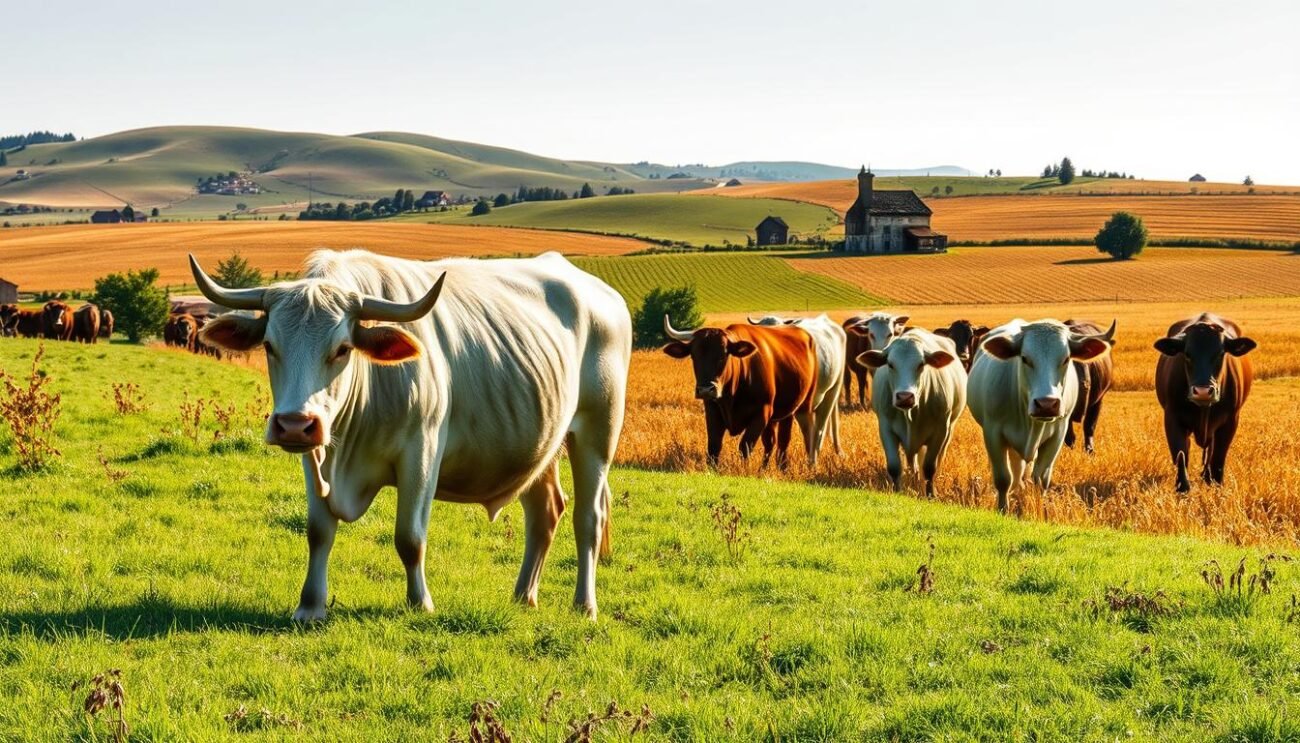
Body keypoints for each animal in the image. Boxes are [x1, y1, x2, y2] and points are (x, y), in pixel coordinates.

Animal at [190, 249, 630, 622]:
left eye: (342, 348)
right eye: (269, 345)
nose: (296, 423)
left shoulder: (421, 453)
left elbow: (409, 537)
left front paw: (420, 602)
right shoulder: (314, 458)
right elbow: (318, 532)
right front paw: (310, 606)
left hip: (597, 433)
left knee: (588, 517)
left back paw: (585, 605)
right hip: (540, 443)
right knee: (545, 512)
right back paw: (523, 597)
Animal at [663, 316, 817, 469]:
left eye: (723, 355)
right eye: (694, 356)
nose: (706, 390)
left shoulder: (762, 412)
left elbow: (745, 445)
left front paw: (744, 469)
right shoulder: (712, 410)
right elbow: (714, 445)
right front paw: (712, 469)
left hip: (802, 405)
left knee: (787, 440)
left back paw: (786, 467)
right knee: (771, 442)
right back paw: (764, 468)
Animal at [857, 328, 967, 498]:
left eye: (921, 364)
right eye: (890, 364)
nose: (904, 397)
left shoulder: (941, 431)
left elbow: (929, 468)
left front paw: (930, 495)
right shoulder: (886, 429)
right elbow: (894, 467)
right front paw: (897, 491)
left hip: (949, 429)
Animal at [1154, 313, 1255, 493]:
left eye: (1221, 353)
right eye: (1187, 354)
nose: (1202, 392)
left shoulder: (1230, 421)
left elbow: (1217, 461)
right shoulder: (1172, 418)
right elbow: (1181, 456)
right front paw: (1182, 488)